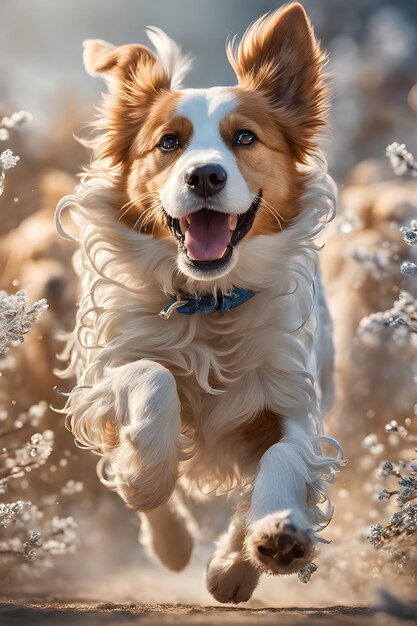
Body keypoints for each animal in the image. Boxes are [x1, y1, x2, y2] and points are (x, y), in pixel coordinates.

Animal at [57, 3, 344, 600]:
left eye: (245, 138)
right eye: (169, 142)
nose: (205, 175)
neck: (210, 304)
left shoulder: (291, 395)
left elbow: (287, 454)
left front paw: (272, 537)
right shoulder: (107, 369)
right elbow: (153, 379)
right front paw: (146, 476)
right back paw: (167, 534)